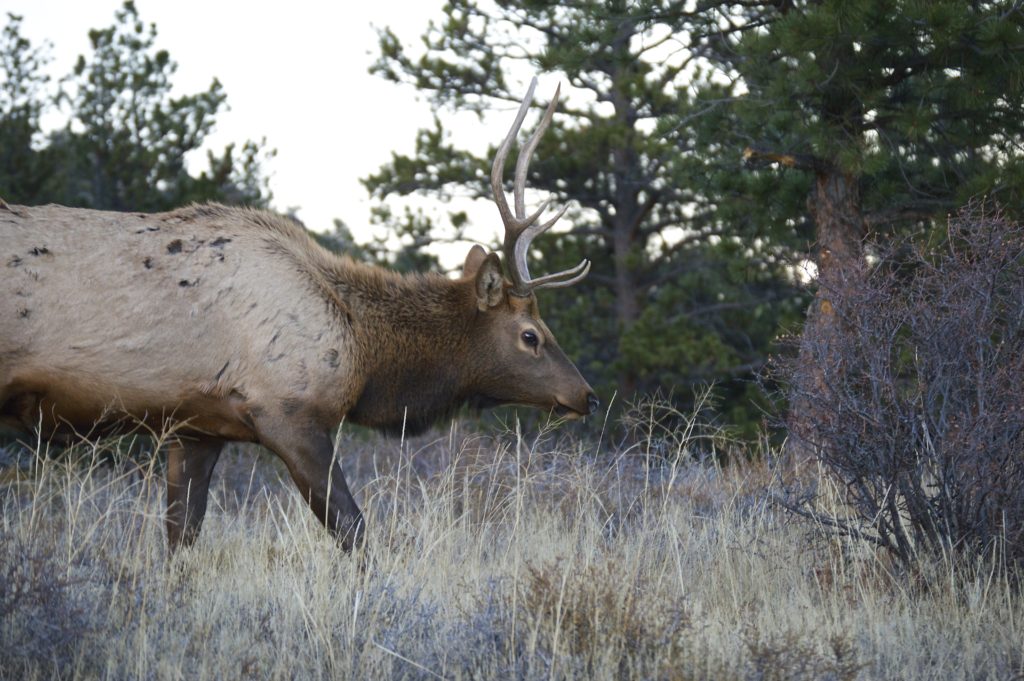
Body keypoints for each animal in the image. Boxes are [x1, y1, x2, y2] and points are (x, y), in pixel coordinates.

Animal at [0, 78, 598, 552]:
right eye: (530, 335)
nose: (586, 395)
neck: (365, 353)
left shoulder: (195, 426)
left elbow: (181, 537)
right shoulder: (288, 414)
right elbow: (355, 532)